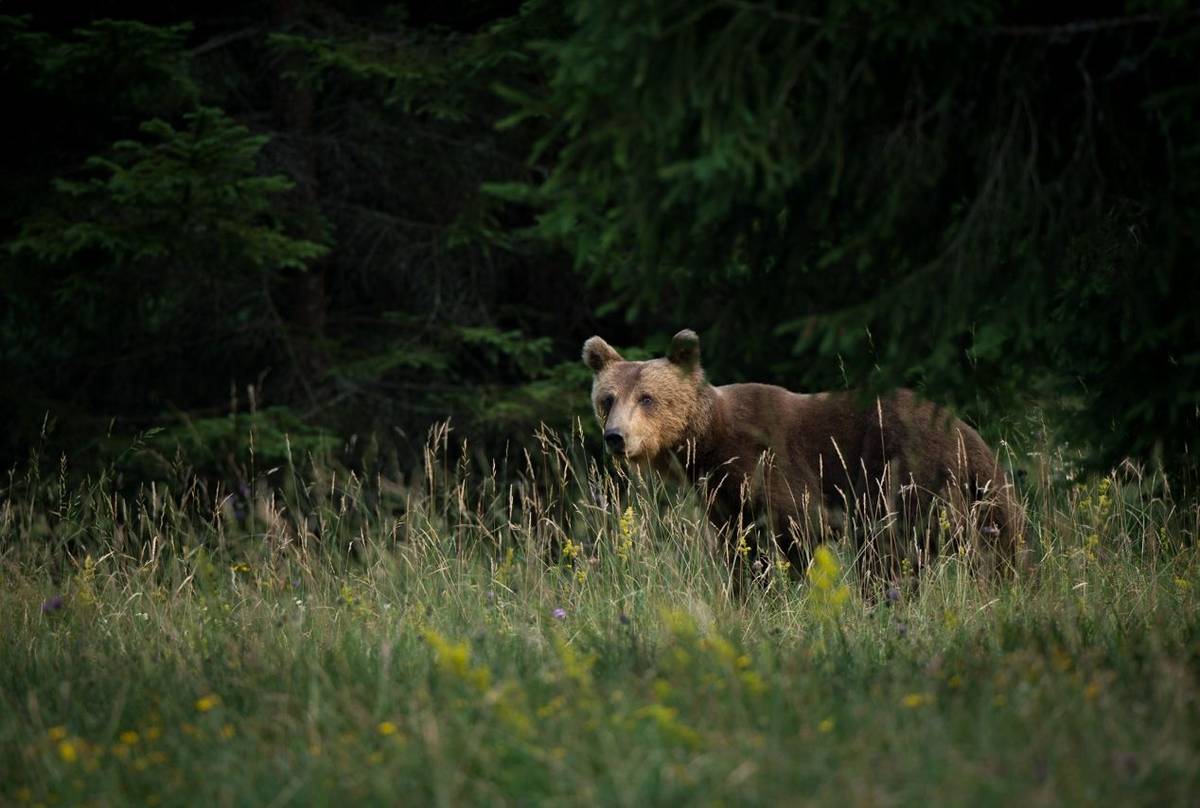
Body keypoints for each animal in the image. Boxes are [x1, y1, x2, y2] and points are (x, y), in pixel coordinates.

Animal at [583, 328, 1023, 594]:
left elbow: (793, 530)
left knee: (892, 546)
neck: (706, 444)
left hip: (904, 472)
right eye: (607, 399)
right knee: (1000, 538)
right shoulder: (721, 496)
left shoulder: (769, 465)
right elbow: (738, 549)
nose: (615, 437)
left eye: (647, 398)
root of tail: (964, 430)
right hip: (978, 486)